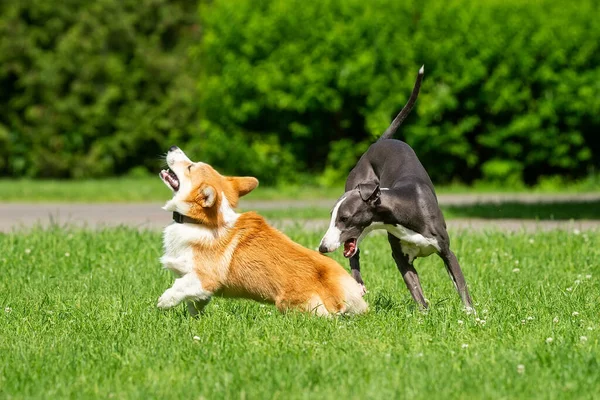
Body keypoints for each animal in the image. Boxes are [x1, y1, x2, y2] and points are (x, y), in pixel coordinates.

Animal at [318, 65, 474, 310]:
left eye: (344, 218)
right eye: (332, 216)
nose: (322, 248)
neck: (404, 208)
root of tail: (379, 142)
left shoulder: (446, 251)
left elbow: (461, 285)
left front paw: (471, 314)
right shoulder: (400, 258)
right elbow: (416, 290)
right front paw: (425, 314)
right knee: (355, 255)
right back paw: (359, 285)